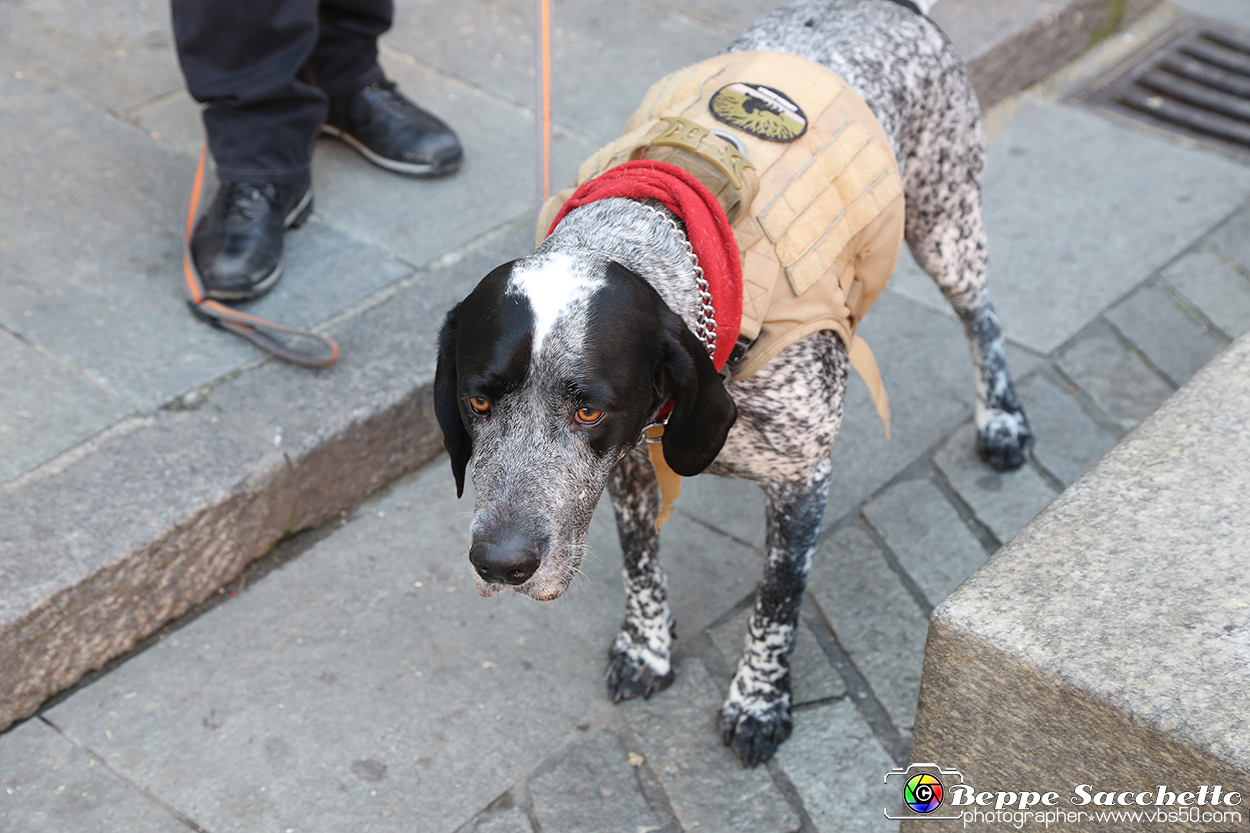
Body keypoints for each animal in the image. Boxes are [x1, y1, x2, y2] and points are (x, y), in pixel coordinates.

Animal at [435, 0, 1030, 765]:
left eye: (589, 410)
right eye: (477, 400)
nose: (498, 562)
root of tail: (893, 7)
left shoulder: (801, 478)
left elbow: (777, 600)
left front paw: (758, 700)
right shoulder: (631, 470)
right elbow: (641, 564)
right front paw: (647, 648)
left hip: (947, 226)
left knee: (982, 317)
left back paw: (1002, 418)